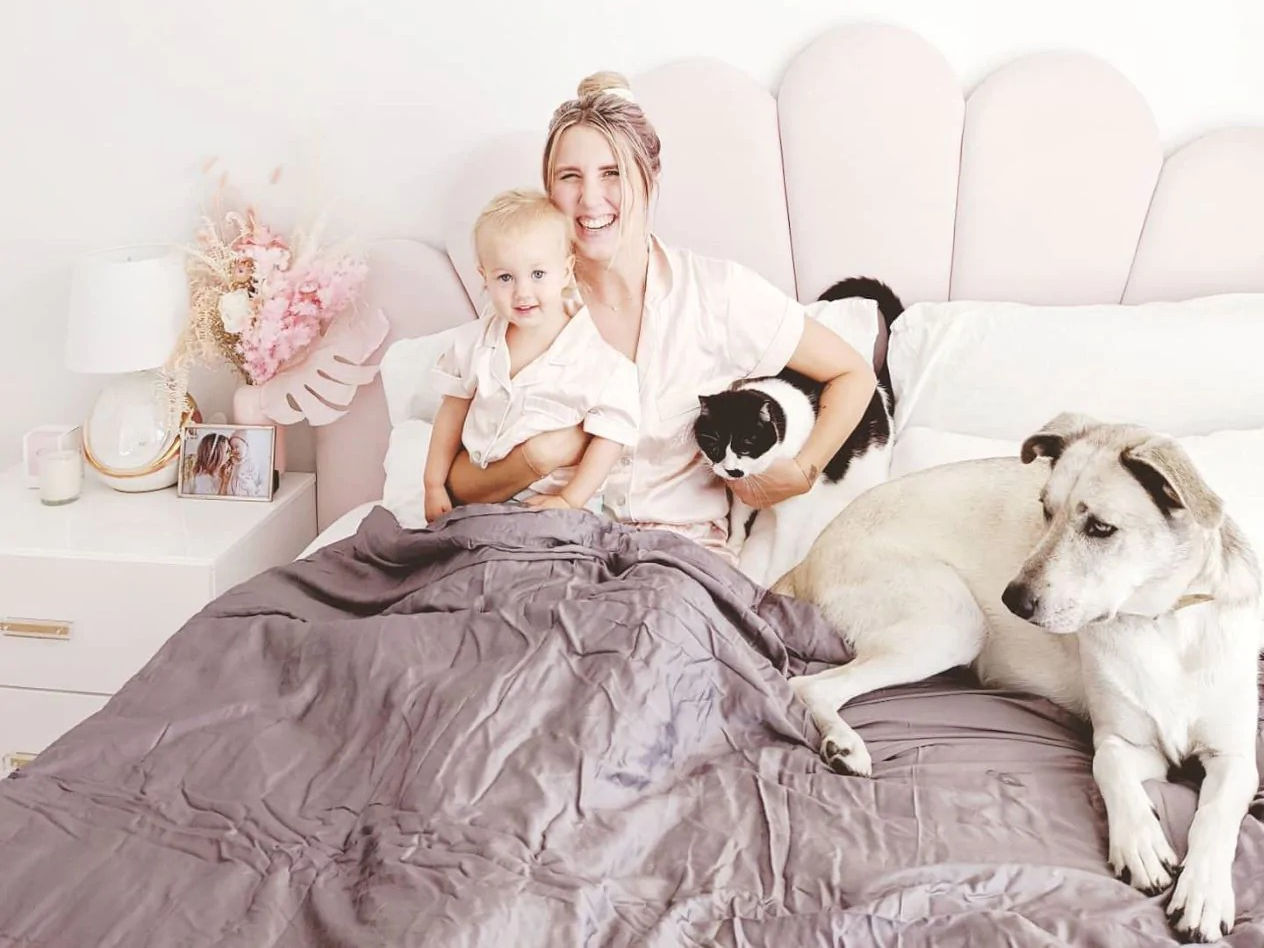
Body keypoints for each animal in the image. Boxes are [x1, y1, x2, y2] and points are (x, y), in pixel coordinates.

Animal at [697, 276, 905, 586]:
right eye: (714, 446)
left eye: (747, 443)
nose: (732, 470)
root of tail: (877, 387)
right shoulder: (743, 495)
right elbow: (737, 521)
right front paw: (733, 549)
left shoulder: (792, 511)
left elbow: (780, 557)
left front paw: (771, 582)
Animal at [778, 414, 1264, 945]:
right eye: (1045, 511)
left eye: (1100, 528)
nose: (1012, 601)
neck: (1161, 623)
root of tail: (809, 555)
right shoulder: (1123, 742)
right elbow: (1108, 767)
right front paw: (1139, 842)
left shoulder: (1234, 758)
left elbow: (1215, 815)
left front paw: (1203, 892)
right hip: (955, 623)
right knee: (808, 686)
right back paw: (845, 746)